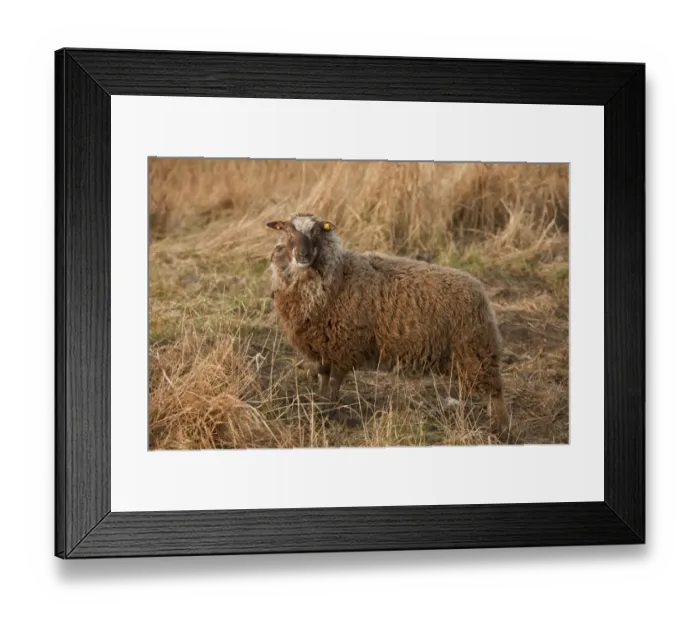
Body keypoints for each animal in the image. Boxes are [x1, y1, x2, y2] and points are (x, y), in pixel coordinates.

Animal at [266, 213, 510, 437]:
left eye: (317, 231)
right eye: (287, 231)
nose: (303, 255)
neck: (338, 276)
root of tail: (480, 290)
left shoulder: (345, 345)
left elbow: (335, 381)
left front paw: (330, 410)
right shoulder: (324, 344)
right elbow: (323, 375)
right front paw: (321, 403)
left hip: (477, 348)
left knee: (495, 390)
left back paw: (500, 428)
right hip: (467, 352)